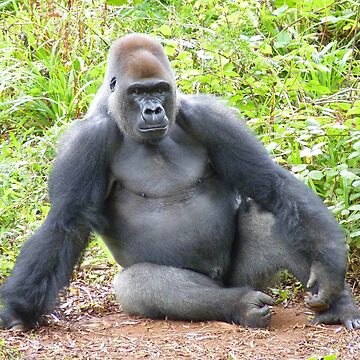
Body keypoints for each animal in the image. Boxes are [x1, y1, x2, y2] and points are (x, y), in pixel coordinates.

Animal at [0, 33, 360, 330]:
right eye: (138, 92)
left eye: (159, 89)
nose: (153, 111)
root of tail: (224, 283)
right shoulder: (85, 142)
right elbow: (66, 223)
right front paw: (18, 311)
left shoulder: (211, 117)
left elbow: (269, 182)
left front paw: (328, 268)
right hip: (216, 286)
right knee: (140, 284)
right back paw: (239, 305)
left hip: (240, 275)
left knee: (272, 216)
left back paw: (336, 306)